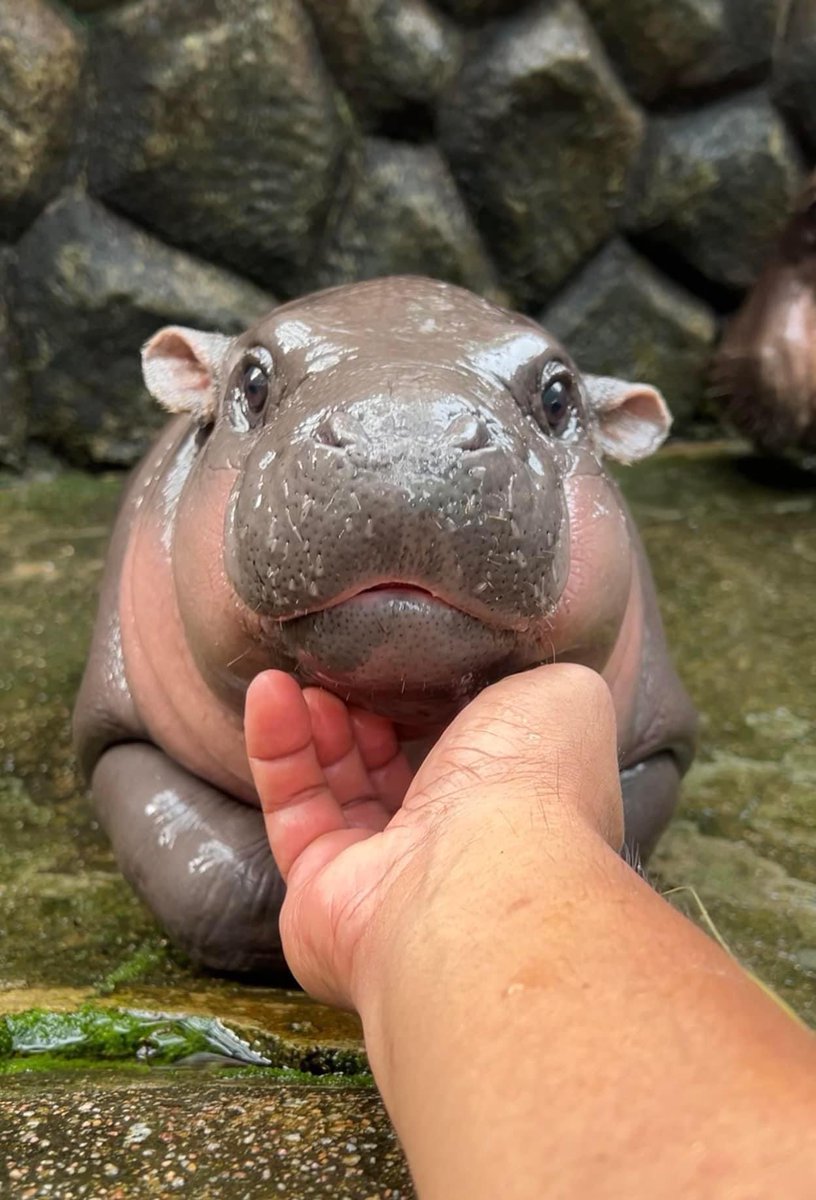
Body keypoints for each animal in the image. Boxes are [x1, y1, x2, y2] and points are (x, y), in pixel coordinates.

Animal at [74, 276, 696, 975]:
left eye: (559, 396)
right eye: (252, 381)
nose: (406, 438)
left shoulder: (660, 747)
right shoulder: (114, 735)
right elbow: (216, 879)